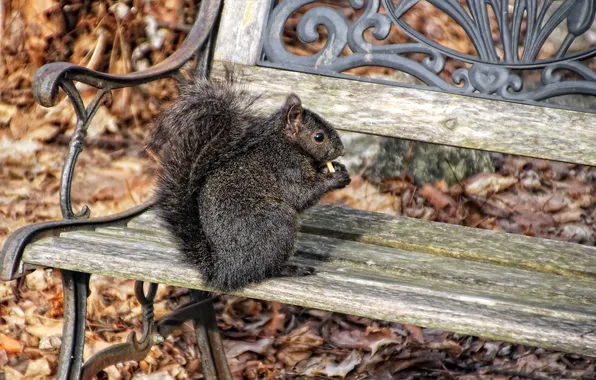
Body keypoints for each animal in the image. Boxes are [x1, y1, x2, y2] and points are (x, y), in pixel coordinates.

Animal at [144, 72, 350, 290]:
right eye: (319, 137)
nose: (341, 151)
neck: (285, 143)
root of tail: (224, 270)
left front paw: (335, 168)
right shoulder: (286, 168)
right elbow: (301, 195)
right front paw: (335, 178)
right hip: (277, 223)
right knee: (266, 269)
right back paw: (292, 269)